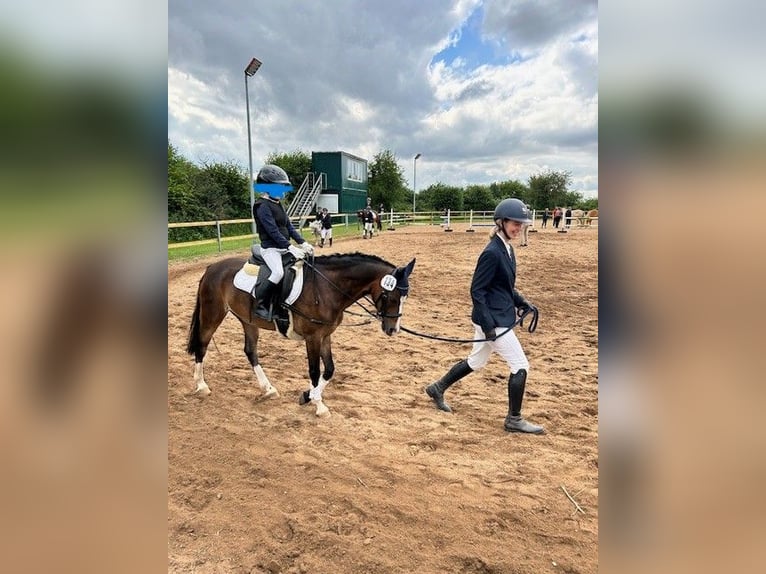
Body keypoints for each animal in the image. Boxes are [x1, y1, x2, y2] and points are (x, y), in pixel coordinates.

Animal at [187, 254, 416, 416]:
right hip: (213, 314)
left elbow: (329, 369)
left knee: (250, 351)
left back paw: (268, 389)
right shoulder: (312, 337)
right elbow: (315, 371)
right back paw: (202, 386)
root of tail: (212, 268)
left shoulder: (325, 335)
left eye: (405, 297)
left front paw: (308, 396)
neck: (327, 288)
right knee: (202, 344)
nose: (393, 329)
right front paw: (319, 406)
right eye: (391, 296)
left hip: (248, 320)